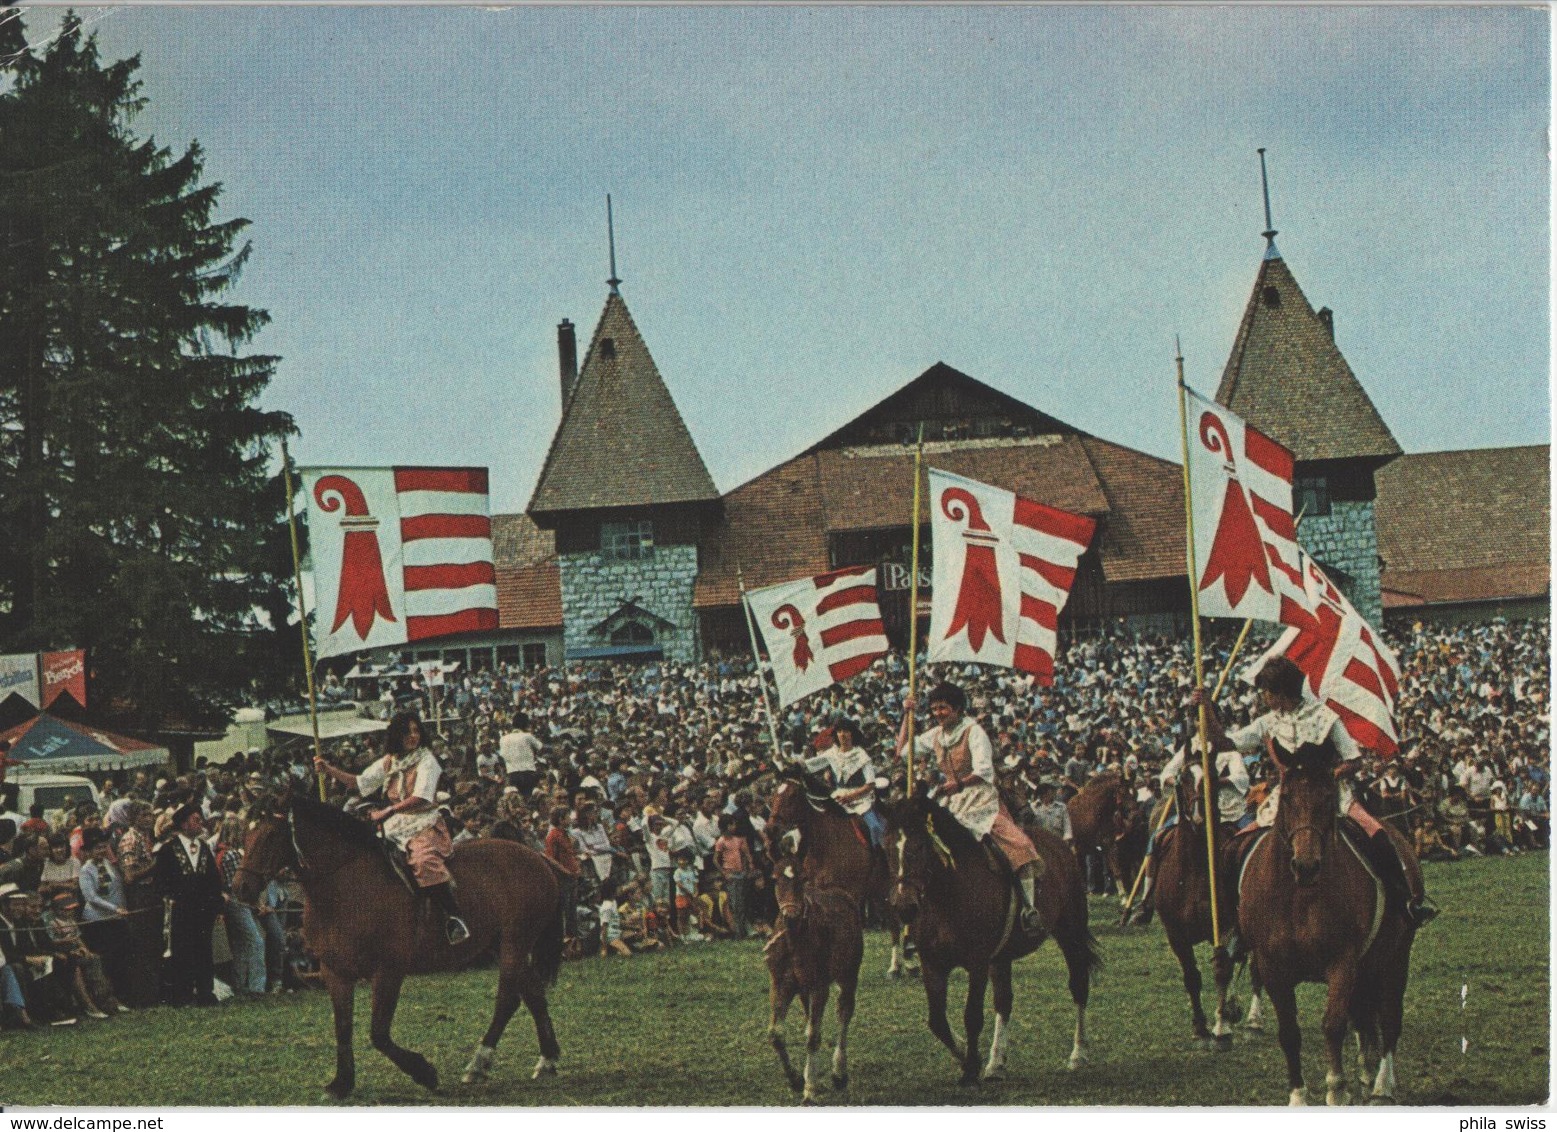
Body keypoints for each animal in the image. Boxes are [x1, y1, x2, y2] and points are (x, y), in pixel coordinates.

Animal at [230, 794, 566, 1102]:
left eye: (270, 835)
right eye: (244, 835)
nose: (240, 888)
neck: (346, 884)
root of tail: (537, 857)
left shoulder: (388, 971)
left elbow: (379, 1033)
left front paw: (424, 1072)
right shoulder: (335, 972)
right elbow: (343, 1027)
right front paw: (342, 1083)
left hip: (514, 944)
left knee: (508, 1000)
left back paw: (479, 1063)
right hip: (504, 945)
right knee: (533, 994)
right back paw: (546, 1059)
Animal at [762, 853, 865, 1102]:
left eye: (803, 878)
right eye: (775, 878)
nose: (791, 914)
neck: (795, 939)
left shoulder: (819, 986)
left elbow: (812, 1036)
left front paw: (809, 1088)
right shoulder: (780, 984)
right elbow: (776, 1035)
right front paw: (796, 1079)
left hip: (848, 974)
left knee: (844, 1012)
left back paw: (839, 1074)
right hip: (803, 990)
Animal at [766, 775, 909, 977]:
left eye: (792, 796)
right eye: (773, 796)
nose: (770, 829)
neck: (825, 843)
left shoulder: (850, 893)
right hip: (877, 891)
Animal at [884, 794, 1102, 1083]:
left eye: (919, 846)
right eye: (886, 847)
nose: (903, 906)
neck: (949, 894)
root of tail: (1060, 845)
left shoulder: (978, 963)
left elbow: (972, 1015)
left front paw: (970, 1069)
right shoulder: (932, 964)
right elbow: (937, 1021)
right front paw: (965, 1054)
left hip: (1071, 932)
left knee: (1078, 985)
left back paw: (1078, 1053)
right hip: (1001, 957)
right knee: (1004, 1001)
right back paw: (996, 1061)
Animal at [1239, 744, 1426, 1108]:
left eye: (1328, 797)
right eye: (1287, 798)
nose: (1306, 865)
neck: (1299, 895)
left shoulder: (1342, 963)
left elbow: (1333, 1024)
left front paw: (1337, 1090)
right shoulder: (1272, 967)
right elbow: (1289, 1031)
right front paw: (1298, 1095)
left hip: (1396, 959)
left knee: (1388, 1017)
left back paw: (1382, 1085)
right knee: (1364, 1015)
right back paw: (1368, 1070)